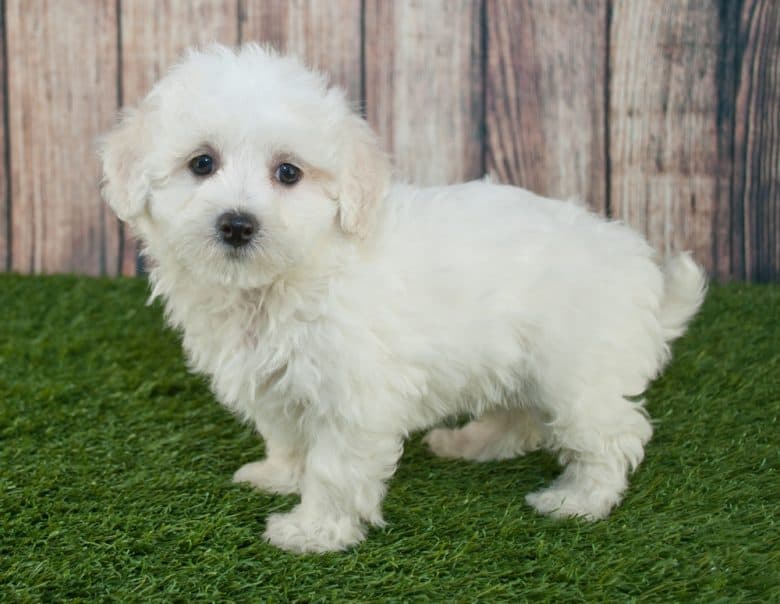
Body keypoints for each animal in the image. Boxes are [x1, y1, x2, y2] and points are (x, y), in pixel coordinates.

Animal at [99, 44, 708, 556]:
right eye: (201, 163)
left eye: (288, 172)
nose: (237, 224)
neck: (287, 278)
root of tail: (640, 270)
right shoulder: (276, 382)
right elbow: (290, 437)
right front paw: (280, 475)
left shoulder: (353, 396)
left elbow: (333, 467)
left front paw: (314, 531)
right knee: (520, 417)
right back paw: (471, 443)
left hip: (578, 371)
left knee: (611, 435)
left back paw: (578, 500)